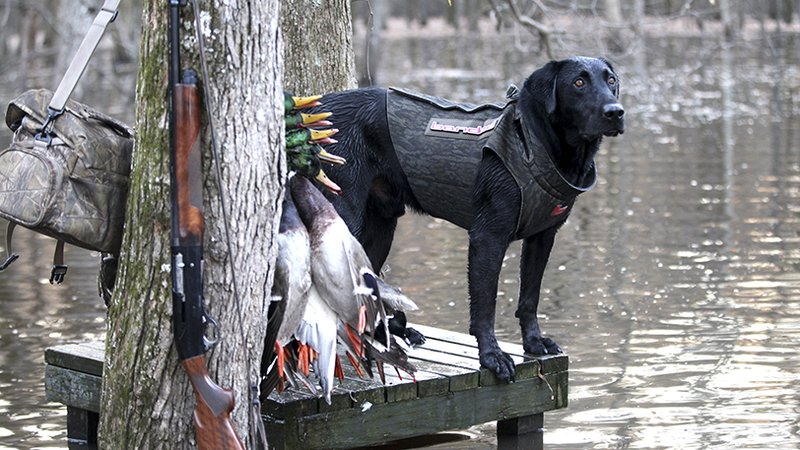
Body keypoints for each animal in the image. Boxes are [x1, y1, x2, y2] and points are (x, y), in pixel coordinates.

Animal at [316, 55, 620, 380]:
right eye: (579, 82)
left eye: (611, 80)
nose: (616, 112)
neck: (533, 142)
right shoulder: (488, 237)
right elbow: (485, 306)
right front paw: (492, 357)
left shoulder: (543, 237)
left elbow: (529, 298)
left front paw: (534, 342)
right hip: (346, 217)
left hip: (381, 226)